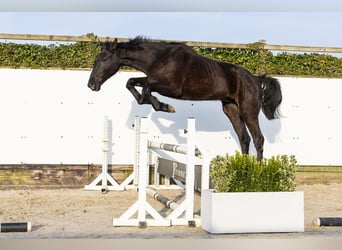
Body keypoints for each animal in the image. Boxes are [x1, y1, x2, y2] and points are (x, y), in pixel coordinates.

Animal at [89, 36, 284, 158]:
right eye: (96, 59)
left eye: (104, 59)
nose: (91, 84)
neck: (159, 59)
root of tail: (256, 79)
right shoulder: (152, 79)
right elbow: (132, 83)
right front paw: (156, 104)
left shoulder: (172, 88)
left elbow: (146, 90)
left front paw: (165, 107)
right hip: (231, 109)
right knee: (244, 139)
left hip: (248, 111)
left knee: (258, 139)